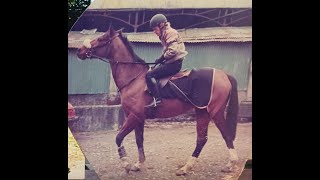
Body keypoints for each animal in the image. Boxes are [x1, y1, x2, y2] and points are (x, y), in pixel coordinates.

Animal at [76, 26, 239, 175]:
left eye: (101, 38)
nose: (80, 51)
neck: (134, 79)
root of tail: (224, 75)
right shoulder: (138, 118)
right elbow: (139, 140)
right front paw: (138, 164)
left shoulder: (134, 116)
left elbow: (118, 137)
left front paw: (126, 163)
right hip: (202, 111)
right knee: (202, 139)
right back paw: (187, 167)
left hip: (215, 112)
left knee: (224, 134)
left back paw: (229, 164)